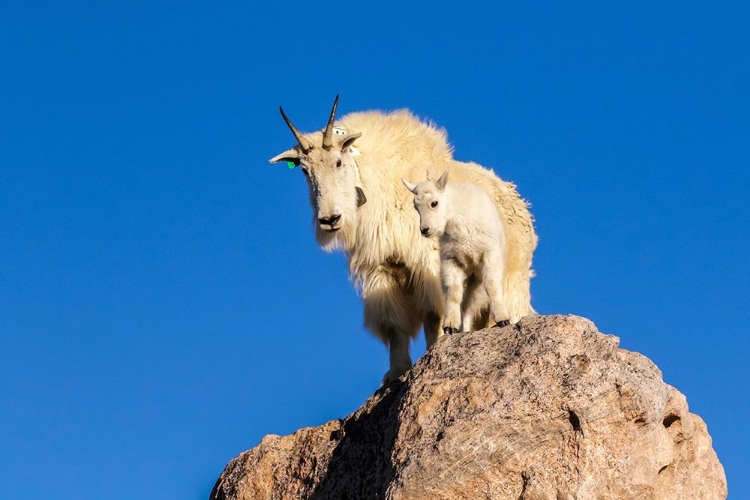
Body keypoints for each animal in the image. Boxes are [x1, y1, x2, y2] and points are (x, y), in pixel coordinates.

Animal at [270, 95, 540, 384]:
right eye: (304, 170)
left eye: (338, 162)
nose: (330, 219)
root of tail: (521, 204)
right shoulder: (382, 268)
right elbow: (393, 327)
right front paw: (395, 374)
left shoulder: (428, 260)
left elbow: (434, 312)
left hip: (511, 278)